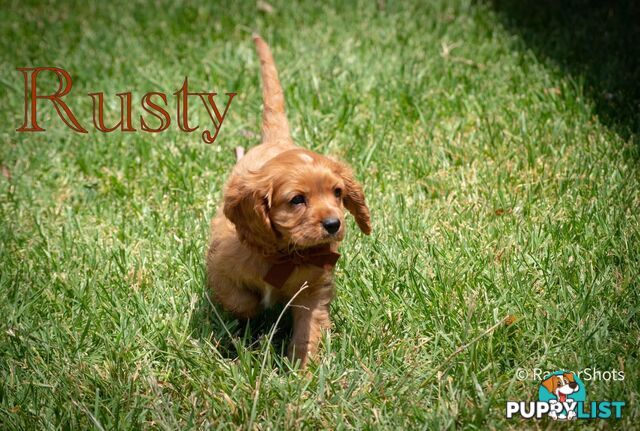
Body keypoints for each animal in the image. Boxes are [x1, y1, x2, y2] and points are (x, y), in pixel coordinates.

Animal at [206, 35, 370, 370]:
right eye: (297, 200)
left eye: (337, 193)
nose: (334, 224)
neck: (285, 254)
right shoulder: (218, 269)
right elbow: (241, 301)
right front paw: (257, 314)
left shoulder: (313, 289)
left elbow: (309, 331)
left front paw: (304, 372)